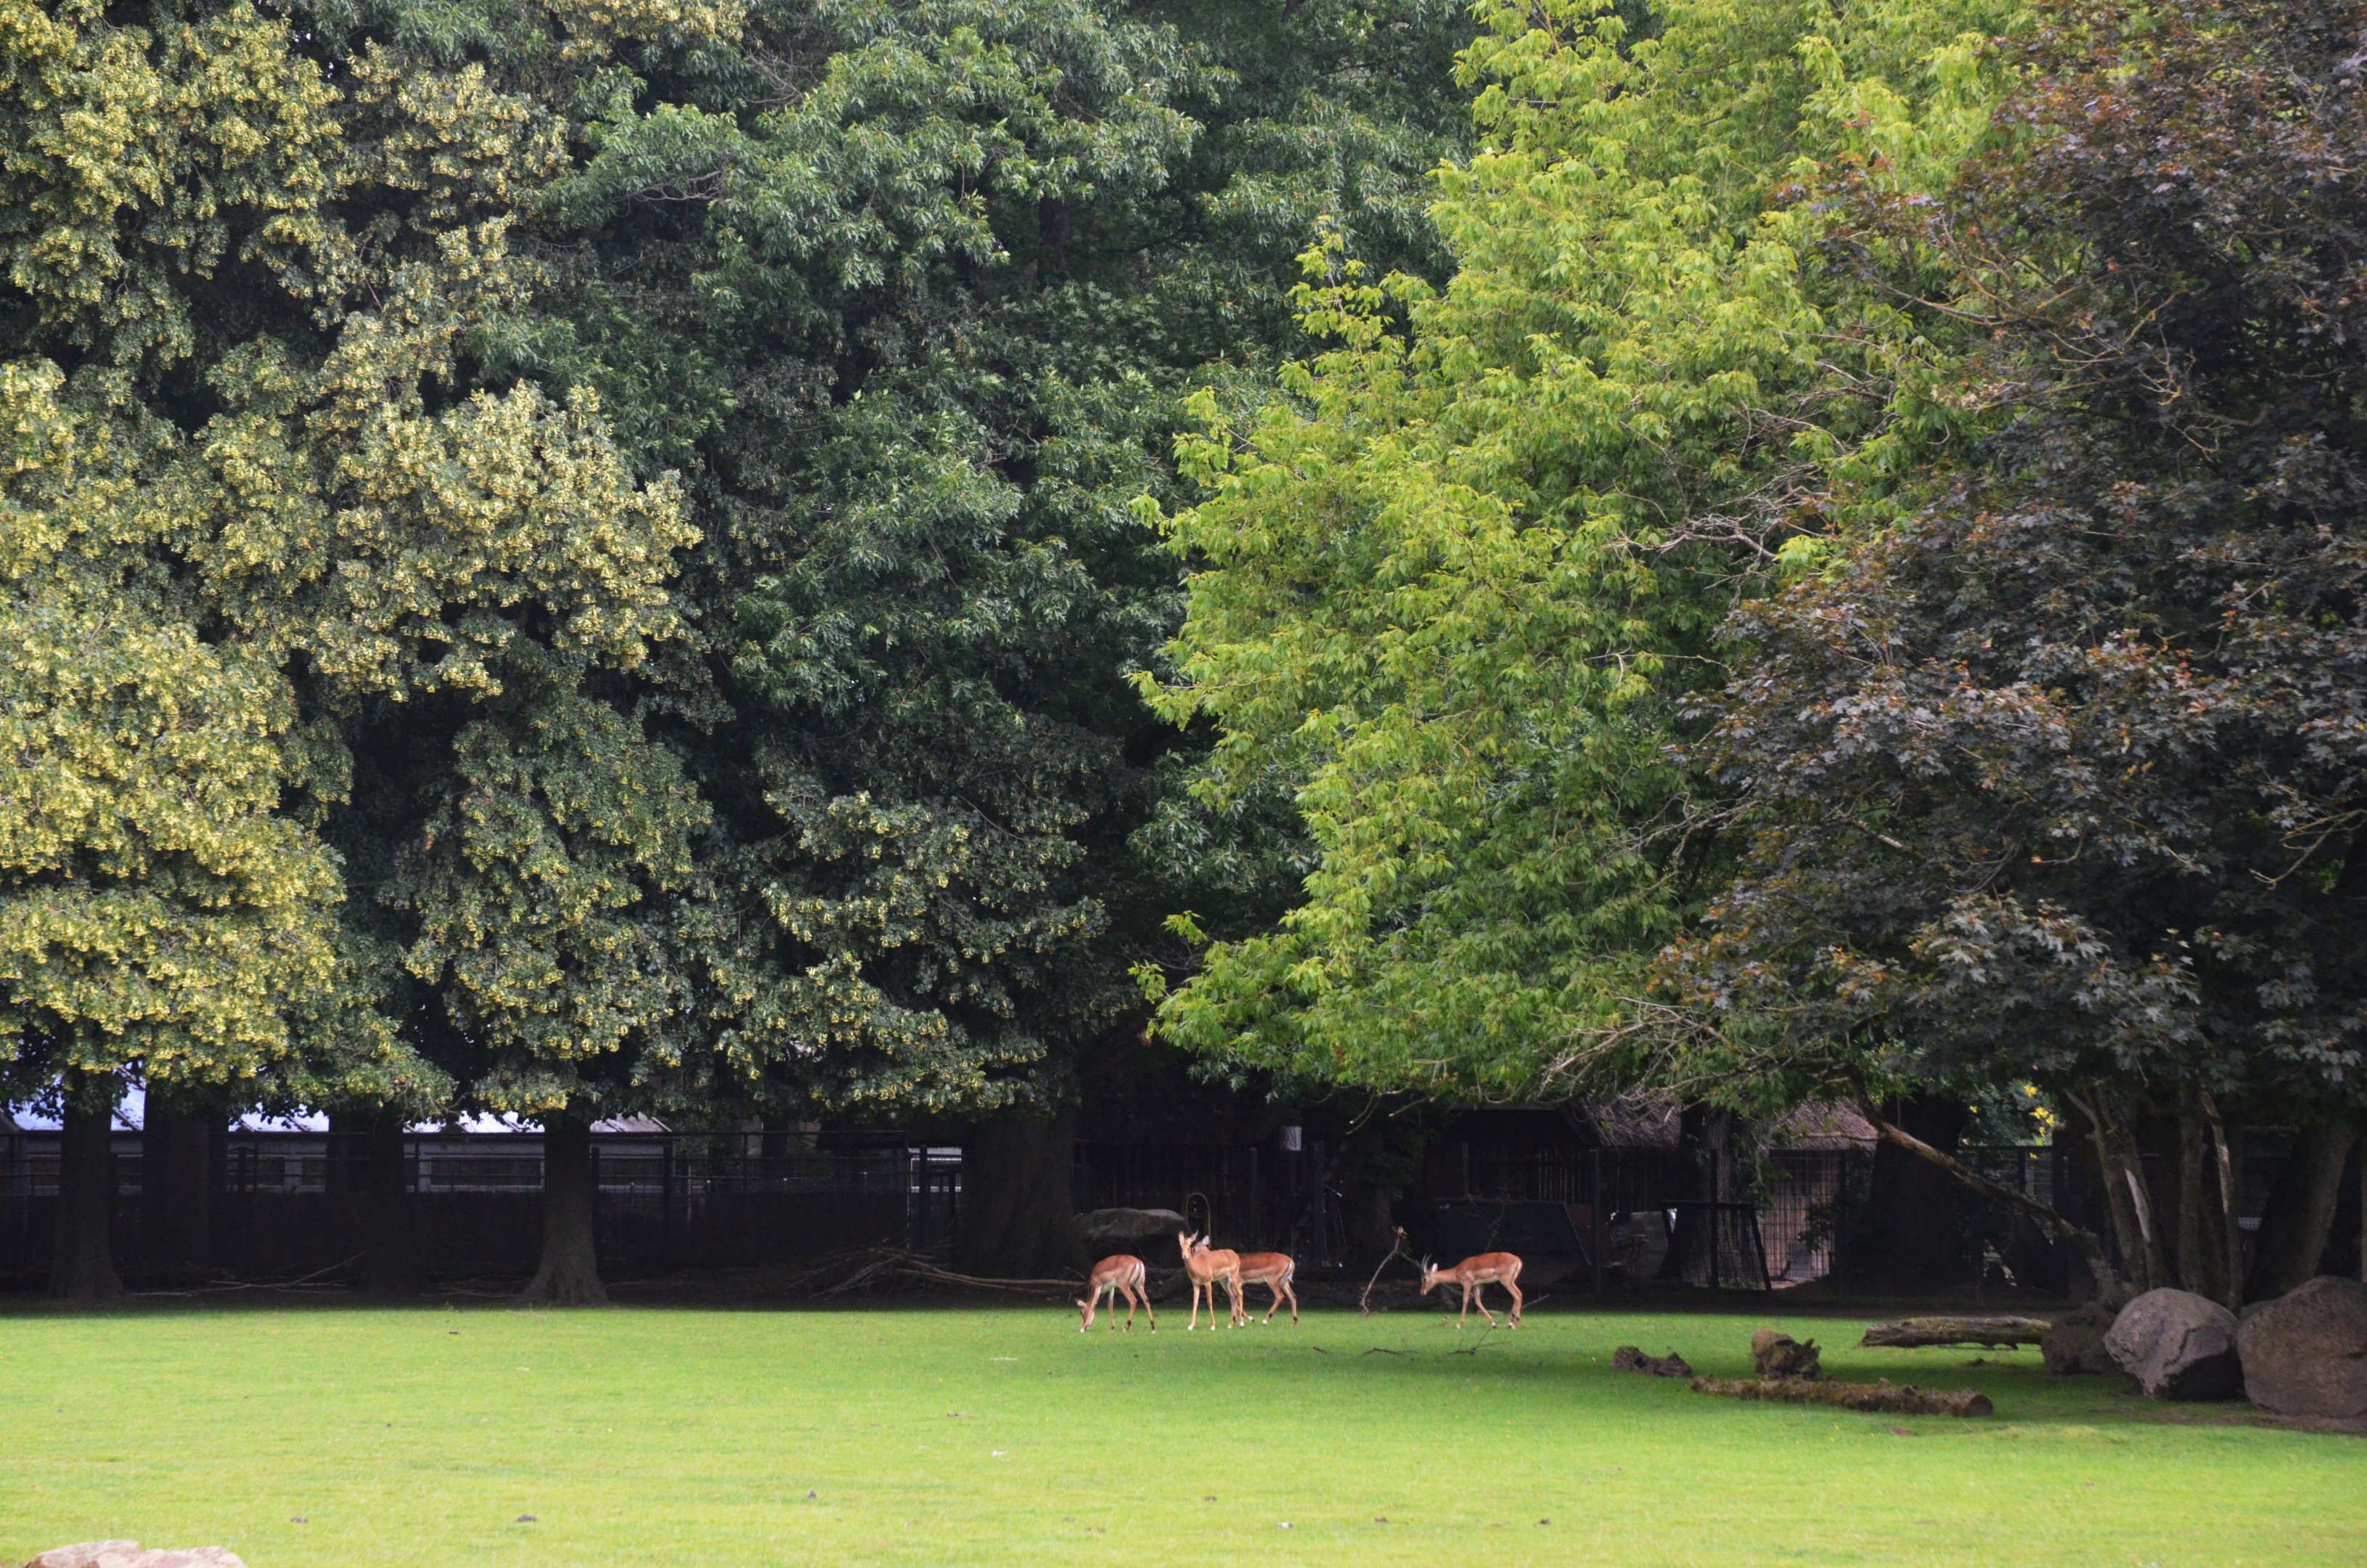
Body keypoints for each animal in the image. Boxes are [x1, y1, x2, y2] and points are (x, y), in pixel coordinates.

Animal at [1177, 1231, 1246, 1329]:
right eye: (1180, 1244)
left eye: (1190, 1244)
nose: (1185, 1256)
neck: (1198, 1266)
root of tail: (1236, 1255)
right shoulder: (1195, 1284)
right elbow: (1195, 1302)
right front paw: (1191, 1325)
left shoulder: (1208, 1281)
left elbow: (1209, 1301)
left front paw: (1213, 1326)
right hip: (1224, 1281)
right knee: (1233, 1296)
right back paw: (1230, 1325)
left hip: (1234, 1275)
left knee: (1240, 1293)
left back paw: (1241, 1323)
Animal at [1196, 1237, 1298, 1324]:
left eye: (1195, 1248)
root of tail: (1291, 1261)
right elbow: (1234, 1298)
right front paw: (1244, 1319)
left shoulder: (1237, 1282)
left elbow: (1236, 1297)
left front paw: (1246, 1320)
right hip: (1284, 1281)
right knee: (1293, 1296)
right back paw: (1294, 1322)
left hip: (1272, 1280)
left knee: (1280, 1296)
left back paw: (1265, 1320)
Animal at [1419, 1251, 1524, 1328]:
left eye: (1424, 1279)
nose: (1422, 1292)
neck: (1458, 1270)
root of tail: (1518, 1260)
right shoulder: (1476, 1285)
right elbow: (1478, 1302)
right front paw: (1493, 1324)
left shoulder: (1467, 1283)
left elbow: (1465, 1300)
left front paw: (1459, 1324)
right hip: (1511, 1281)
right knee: (1518, 1295)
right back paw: (1512, 1322)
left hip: (1506, 1281)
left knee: (1517, 1295)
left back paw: (1512, 1324)